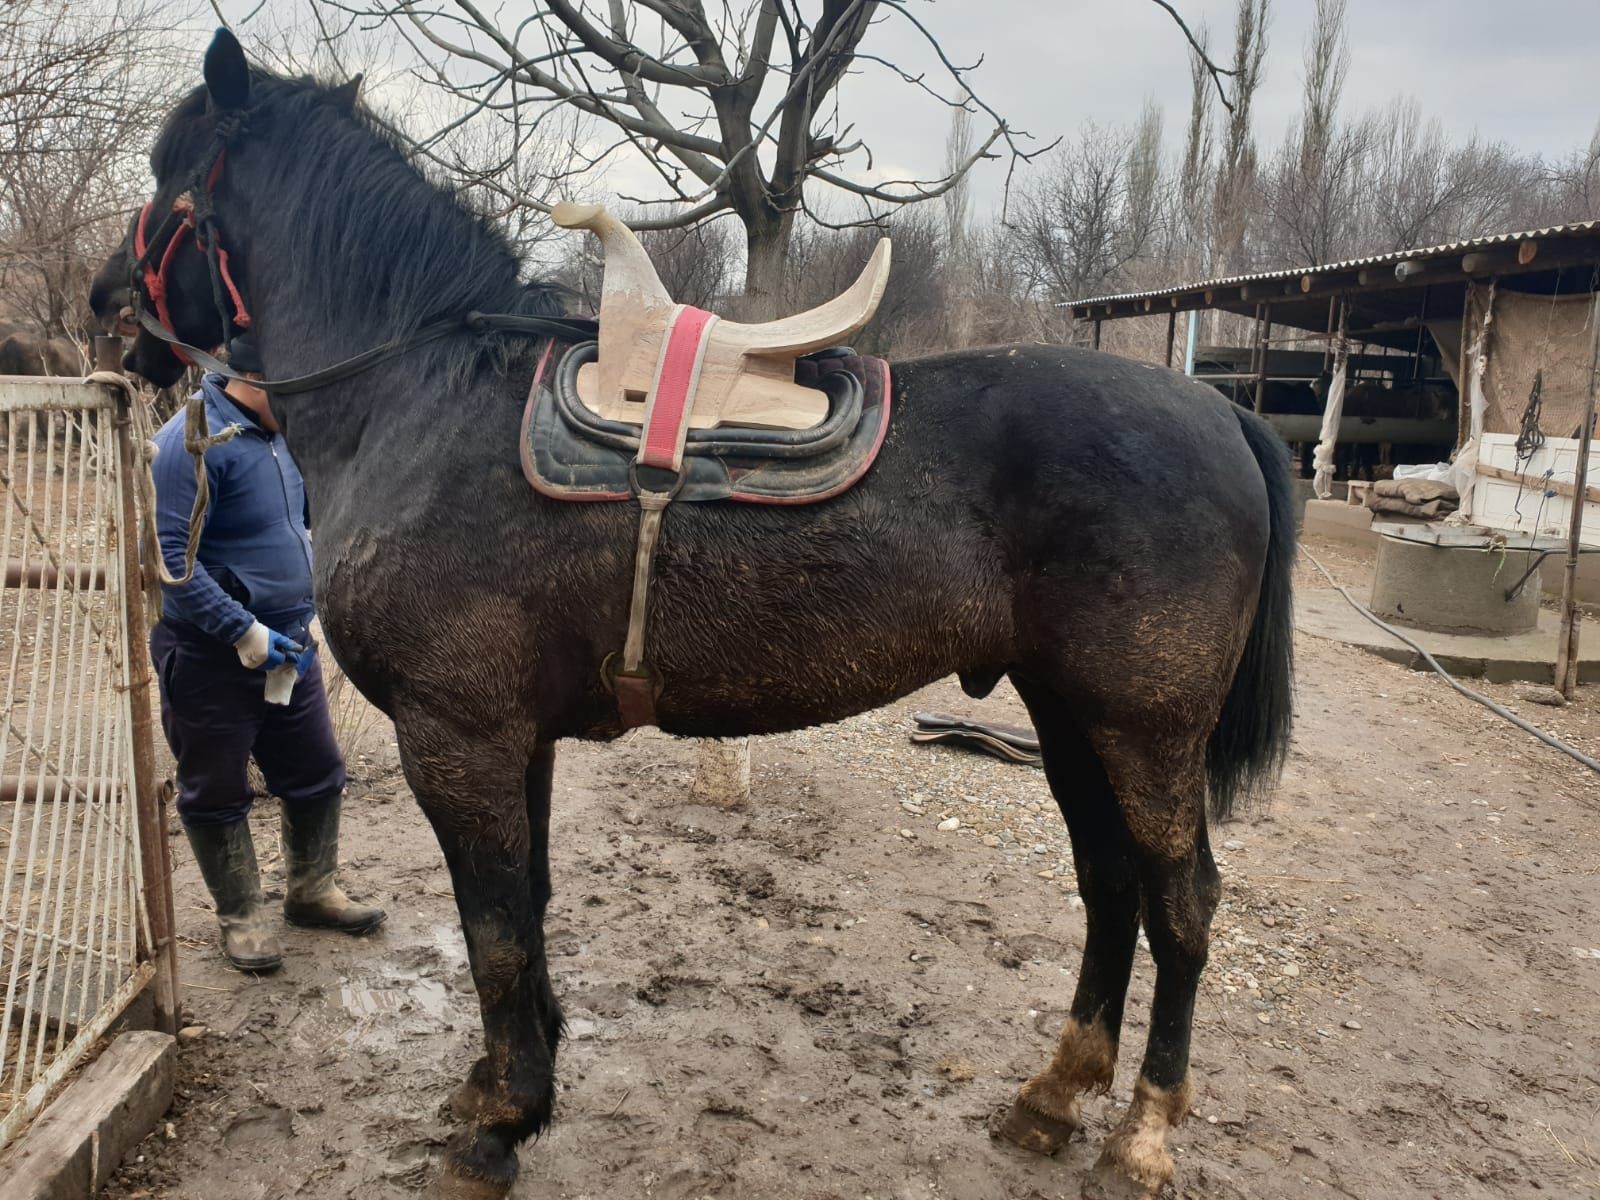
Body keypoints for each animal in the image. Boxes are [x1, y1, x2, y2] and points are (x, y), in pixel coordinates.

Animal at [103, 30, 1299, 1200]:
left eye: (164, 177)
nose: (106, 307)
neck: (425, 394)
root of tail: (1220, 413)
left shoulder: (456, 738)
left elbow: (494, 933)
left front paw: (499, 1124)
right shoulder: (512, 740)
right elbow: (525, 909)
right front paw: (507, 1082)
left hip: (1145, 732)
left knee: (1182, 903)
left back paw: (1143, 1134)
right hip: (1069, 717)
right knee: (1110, 886)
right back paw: (1053, 1098)